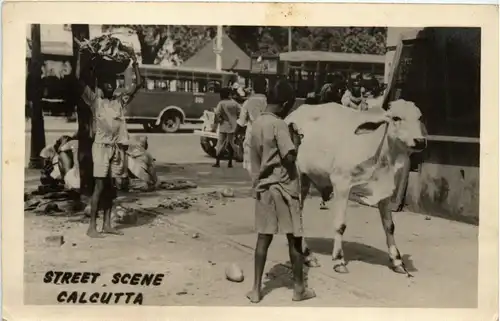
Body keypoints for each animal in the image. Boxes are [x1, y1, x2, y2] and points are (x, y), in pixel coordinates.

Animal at [286, 99, 426, 274]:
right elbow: (340, 224)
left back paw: (307, 256)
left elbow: (389, 226)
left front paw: (397, 261)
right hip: (297, 178)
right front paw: (339, 260)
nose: (420, 141)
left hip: (305, 180)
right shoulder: (341, 183)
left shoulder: (385, 193)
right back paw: (308, 255)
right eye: (396, 118)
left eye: (419, 117)